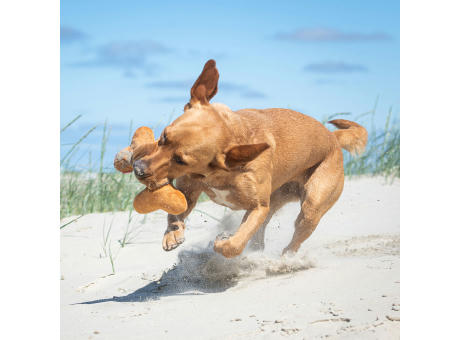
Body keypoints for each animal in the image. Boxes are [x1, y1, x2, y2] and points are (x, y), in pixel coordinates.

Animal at [125, 59, 366, 258]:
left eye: (181, 160)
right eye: (164, 136)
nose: (138, 168)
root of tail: (333, 138)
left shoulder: (258, 207)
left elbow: (234, 244)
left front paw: (223, 242)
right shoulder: (189, 191)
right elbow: (174, 213)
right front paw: (173, 234)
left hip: (312, 207)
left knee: (295, 237)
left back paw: (285, 258)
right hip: (275, 200)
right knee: (260, 237)